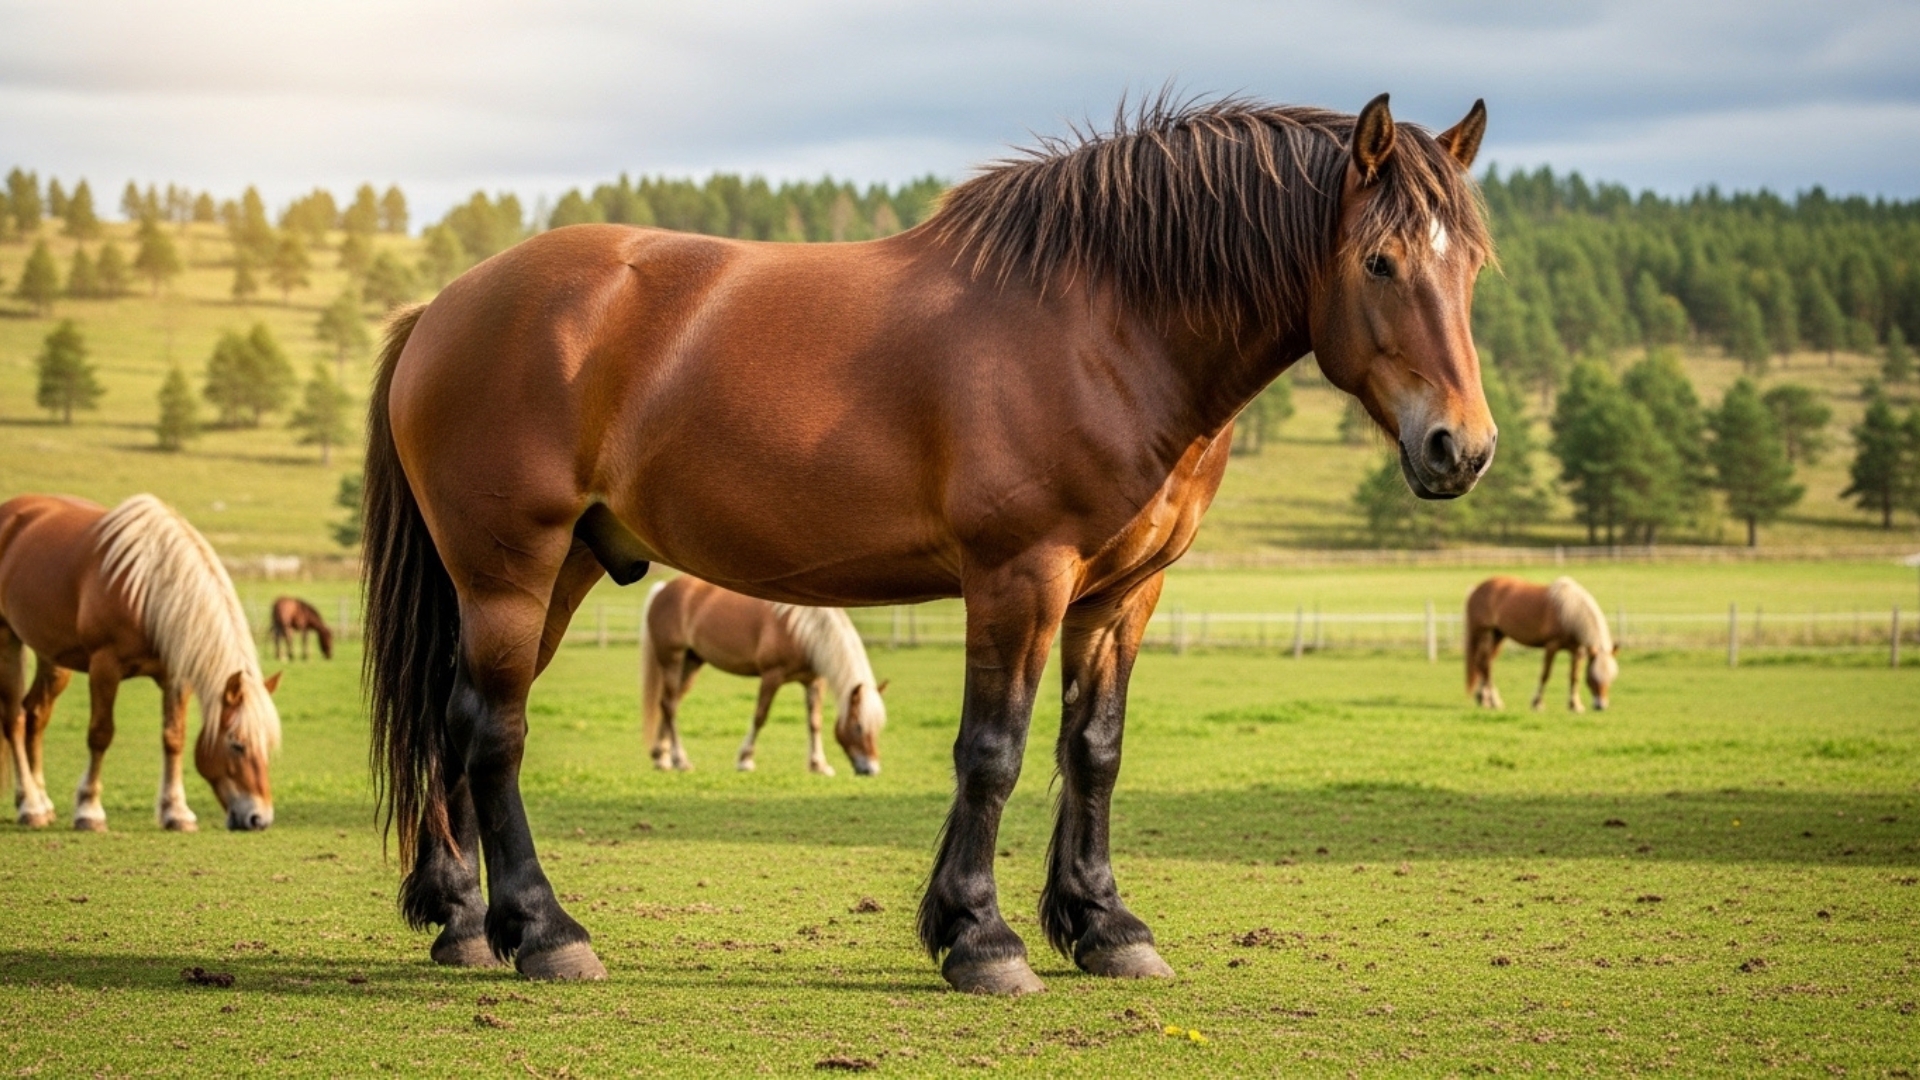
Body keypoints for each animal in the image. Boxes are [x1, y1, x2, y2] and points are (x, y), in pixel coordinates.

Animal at [0, 493, 282, 832]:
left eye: (267, 745)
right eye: (236, 744)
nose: (259, 818)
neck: (150, 591)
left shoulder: (175, 675)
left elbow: (174, 738)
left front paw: (176, 812)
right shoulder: (104, 667)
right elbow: (100, 735)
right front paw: (89, 811)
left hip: (52, 656)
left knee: (36, 715)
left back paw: (41, 802)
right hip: (7, 639)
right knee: (14, 719)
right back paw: (29, 805)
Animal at [639, 576, 887, 776]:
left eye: (877, 726)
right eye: (858, 726)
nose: (871, 769)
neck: (801, 631)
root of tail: (663, 589)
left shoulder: (814, 681)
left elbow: (814, 722)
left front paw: (819, 765)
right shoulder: (771, 677)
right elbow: (760, 716)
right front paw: (745, 760)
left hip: (691, 663)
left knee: (668, 704)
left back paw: (661, 758)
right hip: (672, 660)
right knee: (670, 706)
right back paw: (680, 760)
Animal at [1465, 575, 1619, 712]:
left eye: (1611, 678)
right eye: (1592, 678)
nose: (1601, 706)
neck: (1569, 612)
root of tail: (1476, 588)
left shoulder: (1577, 651)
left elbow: (1574, 677)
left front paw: (1575, 705)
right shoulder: (1551, 646)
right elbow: (1545, 675)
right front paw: (1537, 703)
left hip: (1498, 635)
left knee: (1484, 664)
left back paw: (1484, 700)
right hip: (1484, 633)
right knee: (1485, 665)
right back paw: (1494, 701)